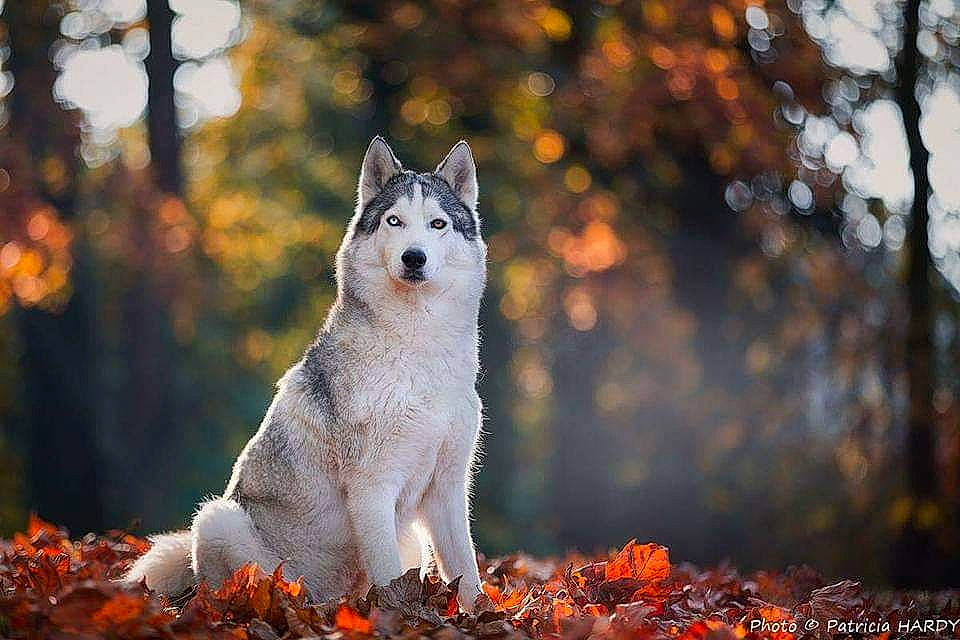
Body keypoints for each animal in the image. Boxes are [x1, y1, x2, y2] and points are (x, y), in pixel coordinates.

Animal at [124, 137, 487, 610]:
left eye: (437, 224)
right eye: (394, 220)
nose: (414, 257)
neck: (419, 348)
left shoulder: (447, 488)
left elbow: (467, 570)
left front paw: (480, 614)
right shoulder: (373, 487)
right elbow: (390, 580)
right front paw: (400, 617)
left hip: (409, 540)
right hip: (218, 520)